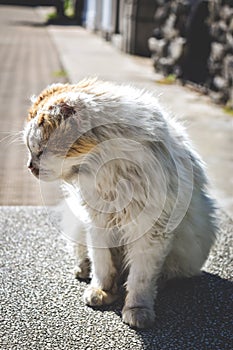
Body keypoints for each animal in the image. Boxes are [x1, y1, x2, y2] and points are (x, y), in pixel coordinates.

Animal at [24, 78, 217, 328]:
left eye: (40, 151)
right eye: (30, 151)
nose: (30, 166)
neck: (109, 171)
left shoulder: (151, 231)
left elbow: (140, 278)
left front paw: (137, 310)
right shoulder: (97, 223)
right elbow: (103, 264)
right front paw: (101, 291)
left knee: (165, 272)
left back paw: (160, 282)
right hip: (76, 224)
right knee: (84, 255)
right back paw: (83, 269)